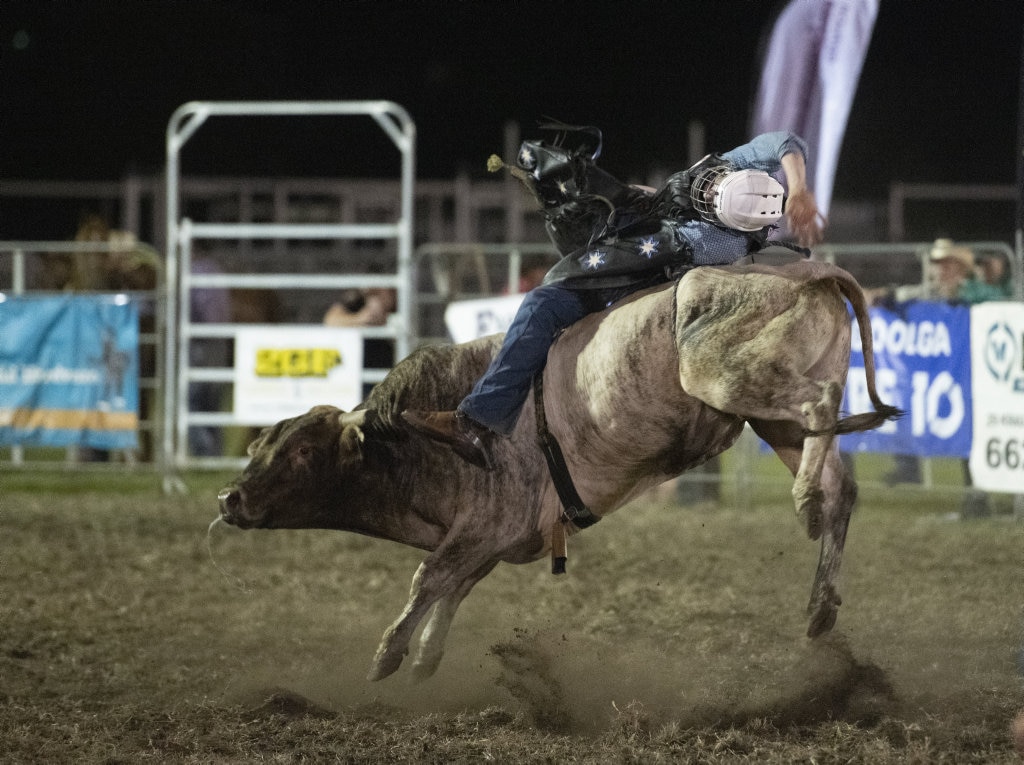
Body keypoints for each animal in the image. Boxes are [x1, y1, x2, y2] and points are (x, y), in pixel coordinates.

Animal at [220, 259, 901, 684]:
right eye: (261, 445)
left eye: (303, 453)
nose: (230, 498)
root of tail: (808, 271)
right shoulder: (487, 542)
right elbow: (450, 590)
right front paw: (423, 661)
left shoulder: (484, 524)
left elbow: (427, 579)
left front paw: (386, 658)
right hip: (770, 418)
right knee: (842, 484)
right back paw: (820, 603)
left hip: (732, 381)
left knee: (819, 409)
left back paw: (804, 501)